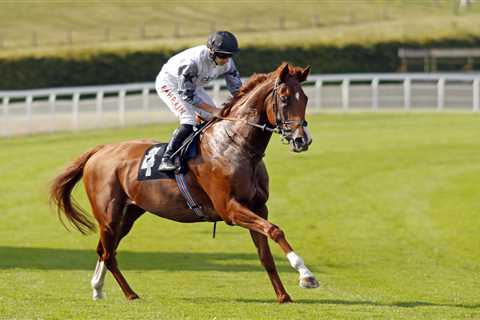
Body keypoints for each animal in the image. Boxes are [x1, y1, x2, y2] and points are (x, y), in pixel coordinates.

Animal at [49, 62, 318, 302]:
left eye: (305, 98)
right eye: (284, 98)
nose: (302, 140)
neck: (235, 146)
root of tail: (100, 150)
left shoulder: (259, 207)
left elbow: (266, 254)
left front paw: (283, 295)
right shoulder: (230, 209)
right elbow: (275, 230)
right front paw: (306, 275)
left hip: (129, 214)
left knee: (106, 250)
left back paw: (98, 288)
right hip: (108, 216)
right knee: (108, 253)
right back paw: (129, 293)